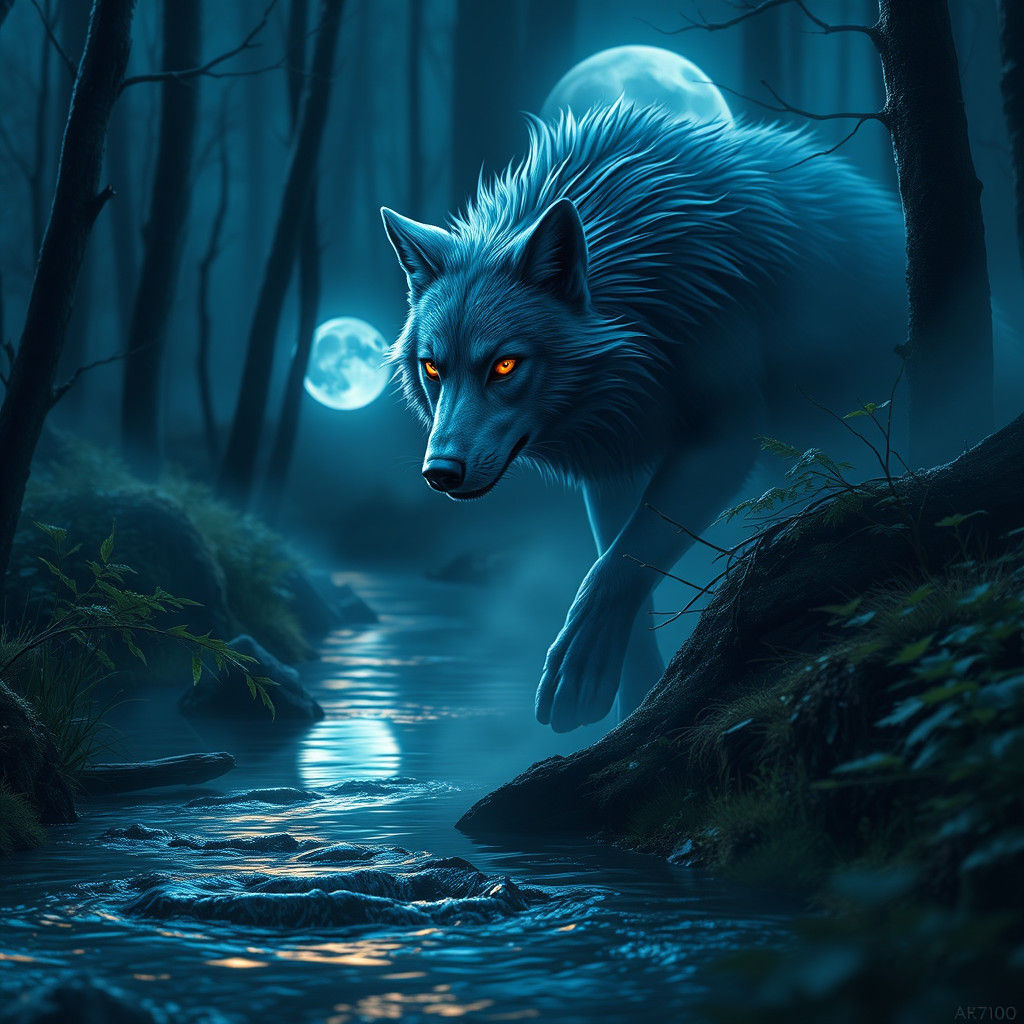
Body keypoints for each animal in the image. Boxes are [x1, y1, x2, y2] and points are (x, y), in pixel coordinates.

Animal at [381, 102, 907, 733]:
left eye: (504, 365)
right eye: (433, 368)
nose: (440, 473)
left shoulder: (725, 435)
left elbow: (615, 566)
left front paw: (580, 664)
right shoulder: (614, 456)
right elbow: (621, 554)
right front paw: (633, 703)